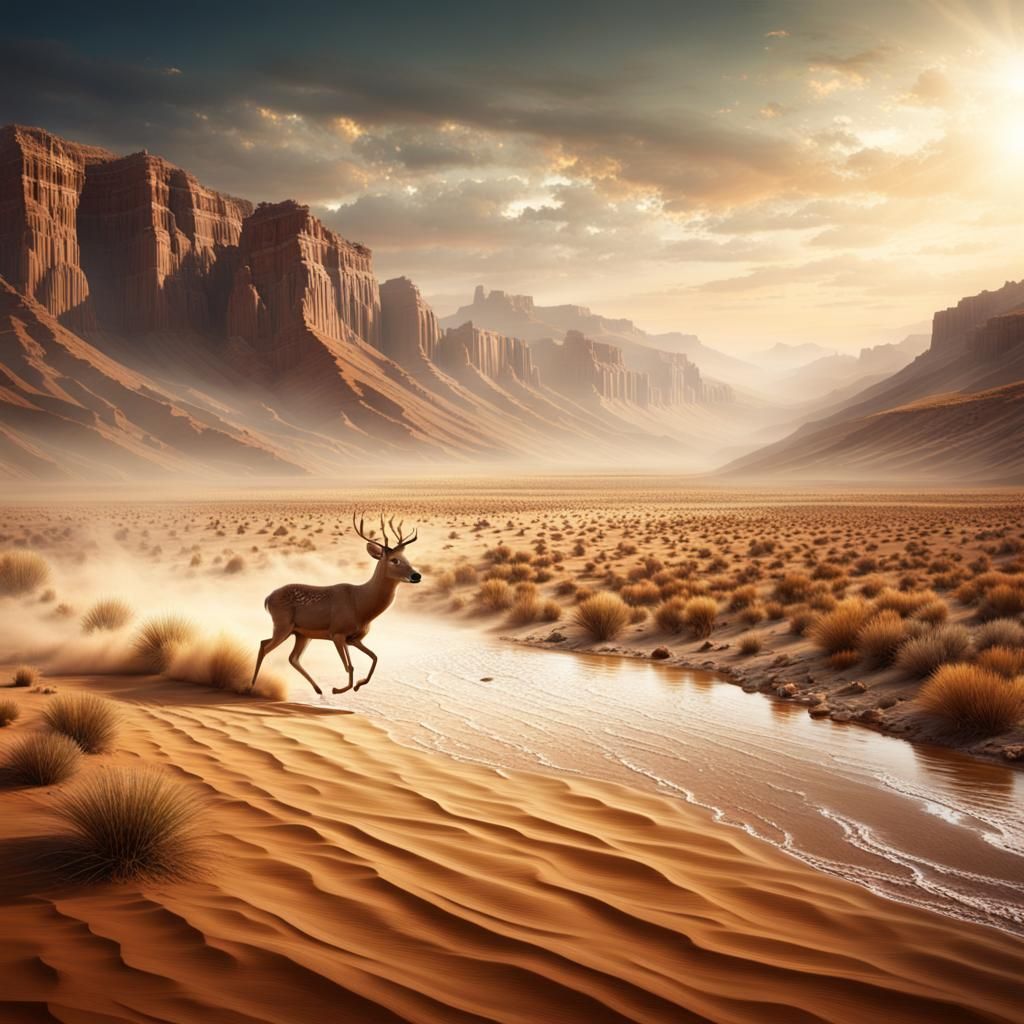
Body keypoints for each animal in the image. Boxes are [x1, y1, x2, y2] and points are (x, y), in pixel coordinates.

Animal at [249, 514, 421, 697]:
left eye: (407, 559)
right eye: (394, 560)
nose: (416, 576)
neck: (360, 605)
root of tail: (268, 598)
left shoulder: (353, 638)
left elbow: (374, 657)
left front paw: (357, 685)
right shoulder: (337, 633)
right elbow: (349, 667)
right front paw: (339, 689)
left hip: (300, 634)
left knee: (287, 654)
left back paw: (318, 689)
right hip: (283, 625)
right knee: (266, 648)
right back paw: (251, 687)